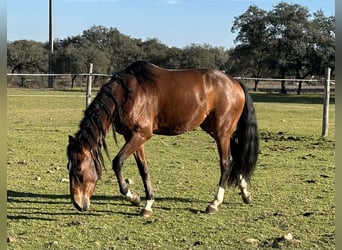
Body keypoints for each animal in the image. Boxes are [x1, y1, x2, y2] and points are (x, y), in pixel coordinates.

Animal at [66, 60, 260, 217]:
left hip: (222, 132)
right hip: (216, 130)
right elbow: (143, 169)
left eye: (79, 169)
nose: (77, 204)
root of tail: (234, 81)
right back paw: (245, 194)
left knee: (226, 162)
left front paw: (132, 196)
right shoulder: (133, 136)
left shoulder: (141, 134)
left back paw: (214, 203)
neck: (126, 94)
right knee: (237, 157)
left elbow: (117, 162)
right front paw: (146, 203)